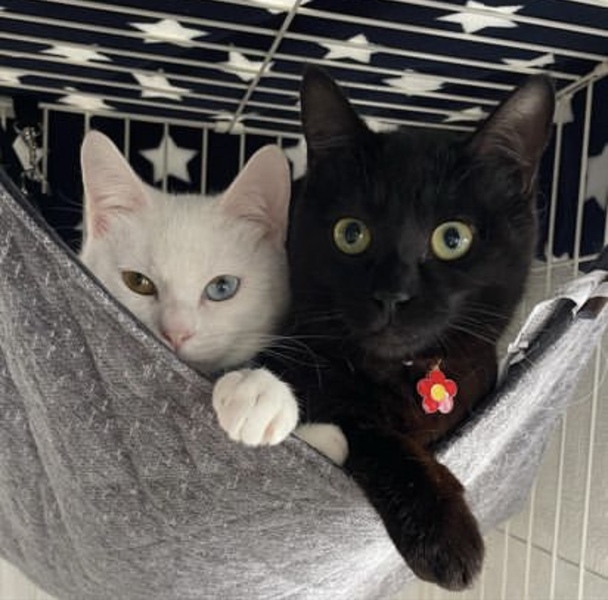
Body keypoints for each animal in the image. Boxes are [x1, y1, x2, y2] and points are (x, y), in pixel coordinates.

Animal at [215, 66, 555, 590]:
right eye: (351, 233)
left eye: (453, 238)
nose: (392, 294)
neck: (408, 378)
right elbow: (378, 438)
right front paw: (446, 536)